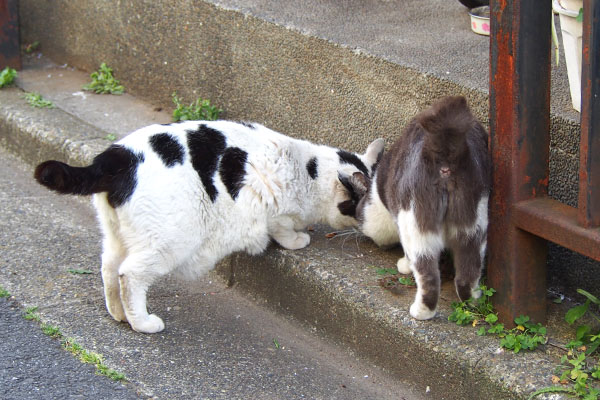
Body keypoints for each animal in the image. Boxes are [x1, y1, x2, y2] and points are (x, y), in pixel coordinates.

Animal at [35, 120, 384, 332]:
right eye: (362, 208)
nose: (366, 230)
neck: (307, 168)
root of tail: (116, 158)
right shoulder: (272, 208)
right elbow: (282, 228)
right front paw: (298, 239)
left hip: (116, 235)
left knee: (109, 269)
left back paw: (118, 313)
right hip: (171, 241)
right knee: (129, 275)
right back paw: (142, 322)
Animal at [342, 97, 492, 322]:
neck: (378, 191)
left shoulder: (400, 220)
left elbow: (406, 252)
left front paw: (404, 264)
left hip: (416, 222)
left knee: (428, 274)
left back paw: (422, 312)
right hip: (473, 223)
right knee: (468, 272)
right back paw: (473, 301)